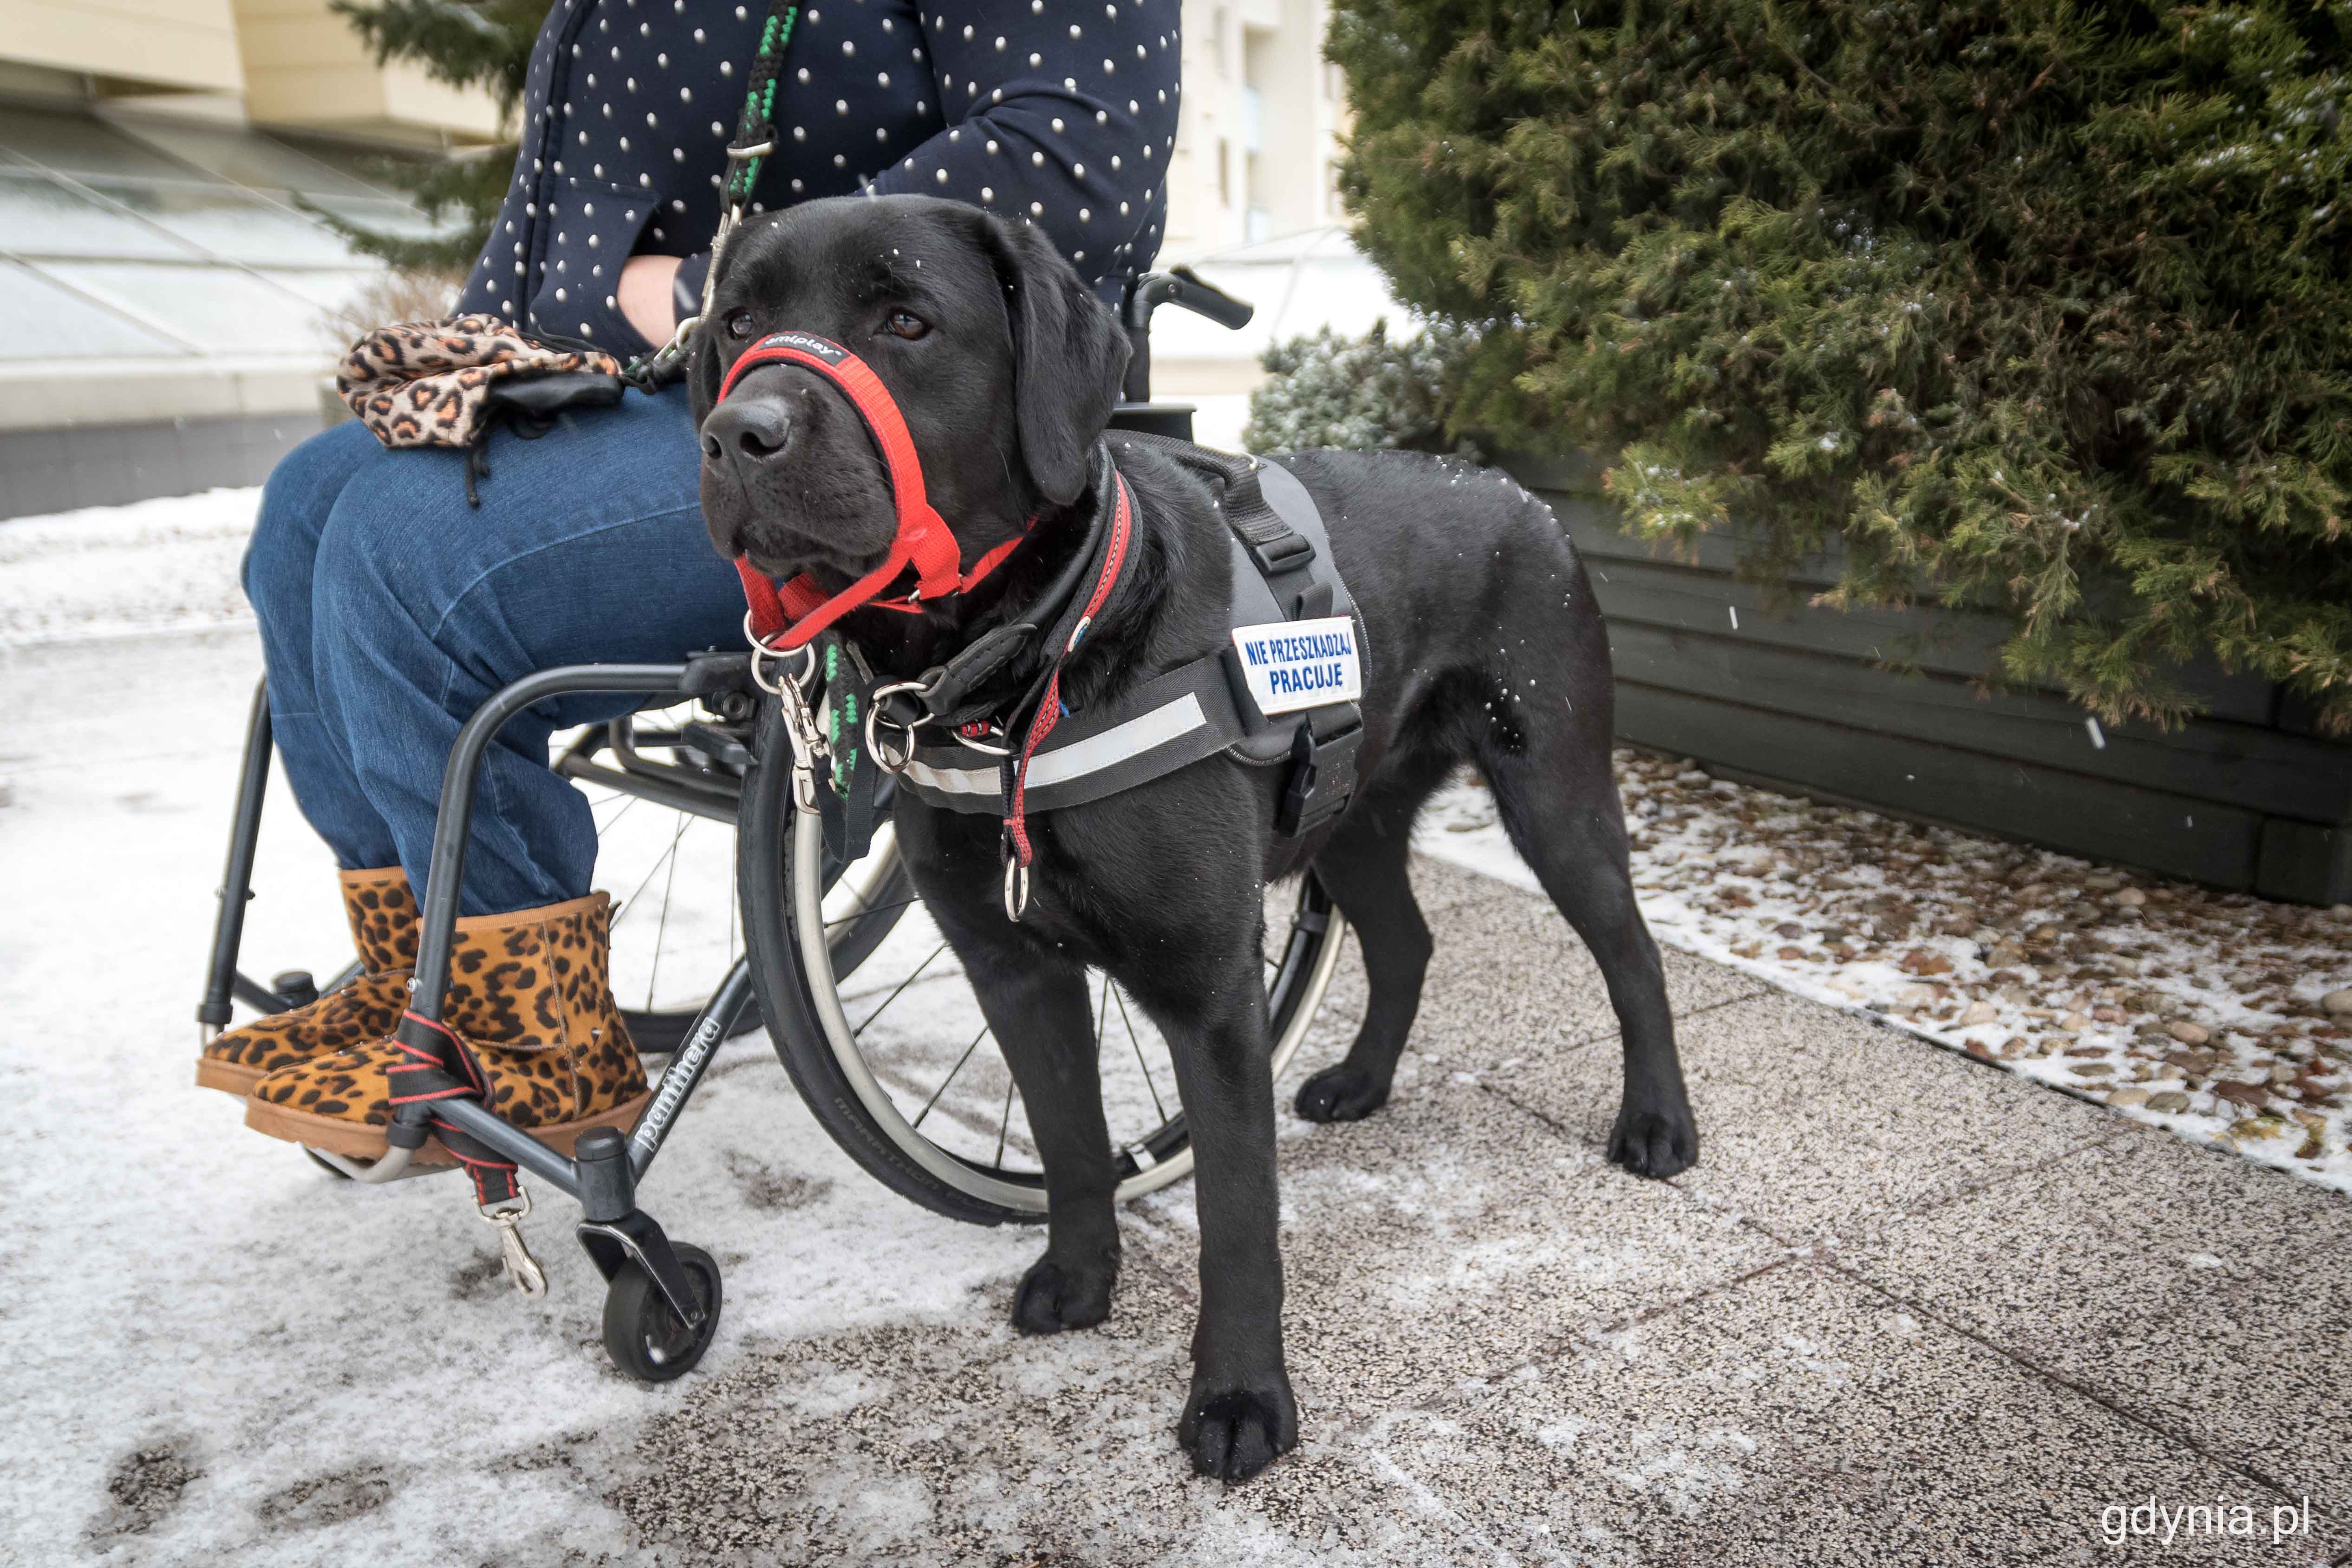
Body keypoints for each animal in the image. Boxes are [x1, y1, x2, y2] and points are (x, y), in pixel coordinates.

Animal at [686, 196, 1703, 1485]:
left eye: (906, 320)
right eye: (737, 320)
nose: (735, 433)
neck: (1032, 666)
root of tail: (1519, 492)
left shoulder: (1211, 994)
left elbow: (1236, 1217)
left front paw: (1240, 1400)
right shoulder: (1014, 970)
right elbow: (1072, 1146)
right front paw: (1080, 1279)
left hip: (1554, 793)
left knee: (1633, 957)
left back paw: (1657, 1121)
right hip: (1349, 815)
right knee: (1407, 941)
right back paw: (1363, 1079)